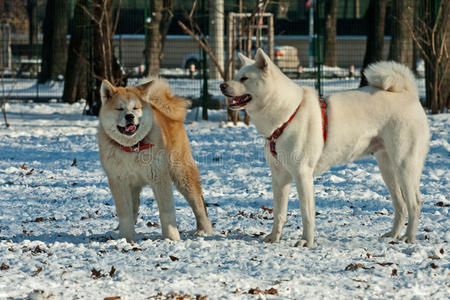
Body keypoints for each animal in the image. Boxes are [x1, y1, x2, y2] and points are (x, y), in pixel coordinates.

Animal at [97, 77, 213, 241]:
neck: (132, 148)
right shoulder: (119, 182)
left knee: (199, 204)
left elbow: (166, 211)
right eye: (119, 109)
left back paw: (204, 230)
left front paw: (172, 238)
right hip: (134, 185)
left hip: (182, 175)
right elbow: (125, 213)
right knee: (133, 209)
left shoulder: (159, 178)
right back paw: (118, 230)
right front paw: (126, 238)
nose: (130, 116)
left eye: (136, 108)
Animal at [220, 48, 430, 246]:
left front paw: (306, 241)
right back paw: (393, 235)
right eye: (237, 76)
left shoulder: (302, 175)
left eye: (245, 78)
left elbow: (306, 214)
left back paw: (409, 238)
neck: (287, 114)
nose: (222, 85)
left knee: (415, 204)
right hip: (388, 169)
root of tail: (408, 94)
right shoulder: (279, 177)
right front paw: (274, 237)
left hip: (405, 166)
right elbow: (279, 212)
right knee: (401, 205)